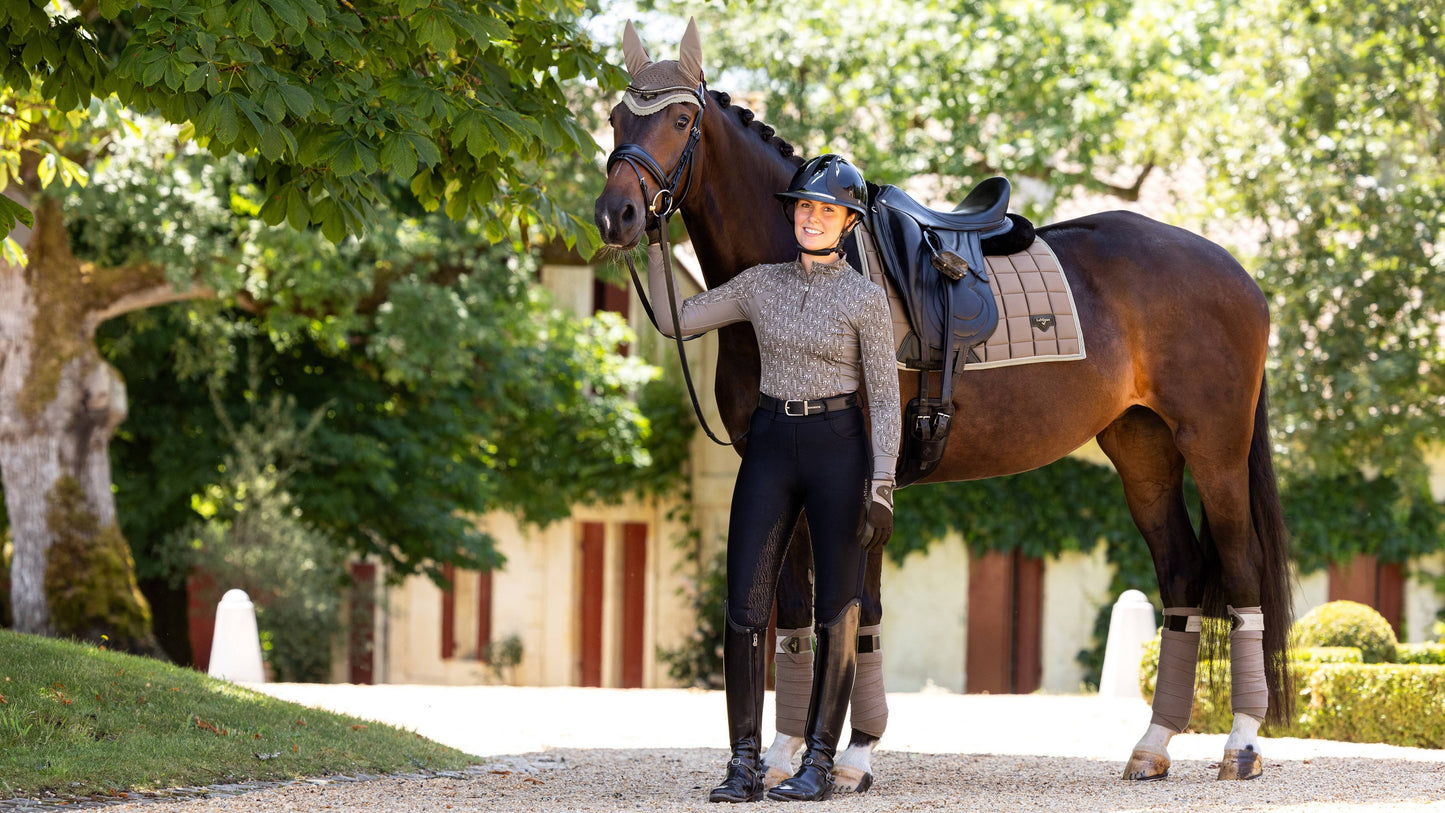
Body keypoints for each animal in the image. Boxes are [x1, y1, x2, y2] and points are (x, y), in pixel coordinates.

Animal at [592, 22, 1294, 791]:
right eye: (617, 117)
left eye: (679, 121)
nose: (615, 215)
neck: (798, 272)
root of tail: (1236, 272)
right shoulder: (781, 472)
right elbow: (795, 613)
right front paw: (780, 757)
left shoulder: (864, 484)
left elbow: (857, 611)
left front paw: (853, 757)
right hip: (1143, 451)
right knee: (1181, 575)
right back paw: (1152, 744)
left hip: (1214, 451)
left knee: (1241, 573)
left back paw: (1241, 744)